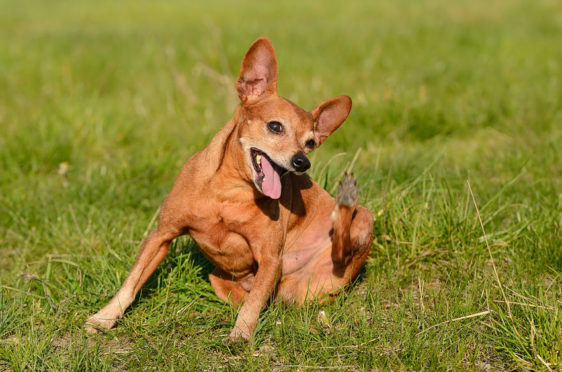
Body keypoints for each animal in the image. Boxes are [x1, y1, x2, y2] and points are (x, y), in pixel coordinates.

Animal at [84, 36, 372, 342]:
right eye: (275, 126)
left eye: (310, 143)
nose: (302, 162)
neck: (228, 193)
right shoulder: (161, 235)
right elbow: (131, 282)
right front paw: (104, 318)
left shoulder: (270, 259)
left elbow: (254, 302)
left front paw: (241, 334)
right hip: (218, 279)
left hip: (360, 226)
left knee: (339, 250)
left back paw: (345, 201)